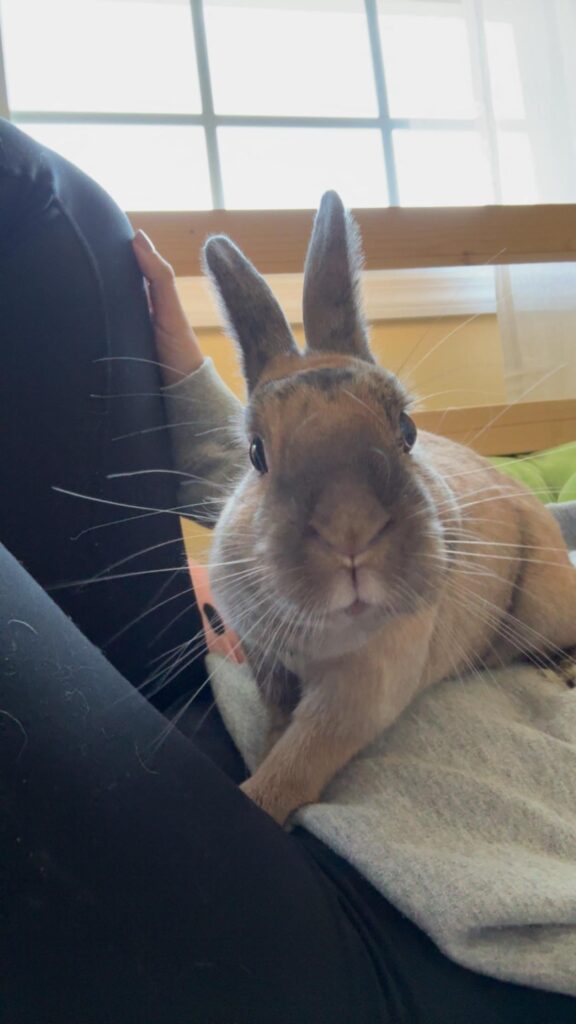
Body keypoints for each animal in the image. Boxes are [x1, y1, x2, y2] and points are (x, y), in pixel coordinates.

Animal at [203, 191, 576, 826]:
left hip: (547, 602)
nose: (350, 530)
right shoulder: (268, 663)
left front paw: (257, 799)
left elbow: (299, 760)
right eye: (256, 453)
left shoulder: (359, 692)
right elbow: (277, 729)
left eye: (407, 429)